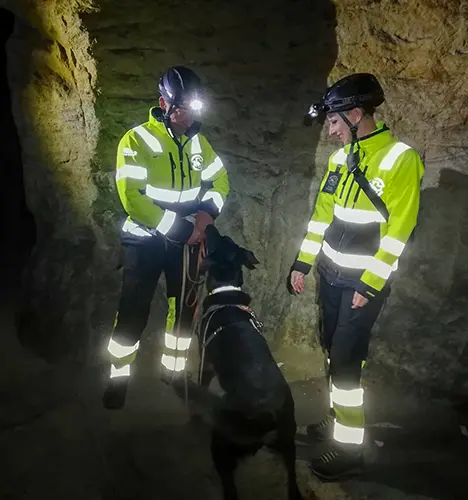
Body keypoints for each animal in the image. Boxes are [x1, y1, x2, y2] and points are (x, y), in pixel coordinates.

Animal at [192, 226, 306, 500]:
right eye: (226, 239)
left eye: (219, 239)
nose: (209, 225)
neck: (226, 293)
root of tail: (266, 416)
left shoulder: (206, 360)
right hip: (289, 443)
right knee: (293, 483)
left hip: (223, 441)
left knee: (230, 487)